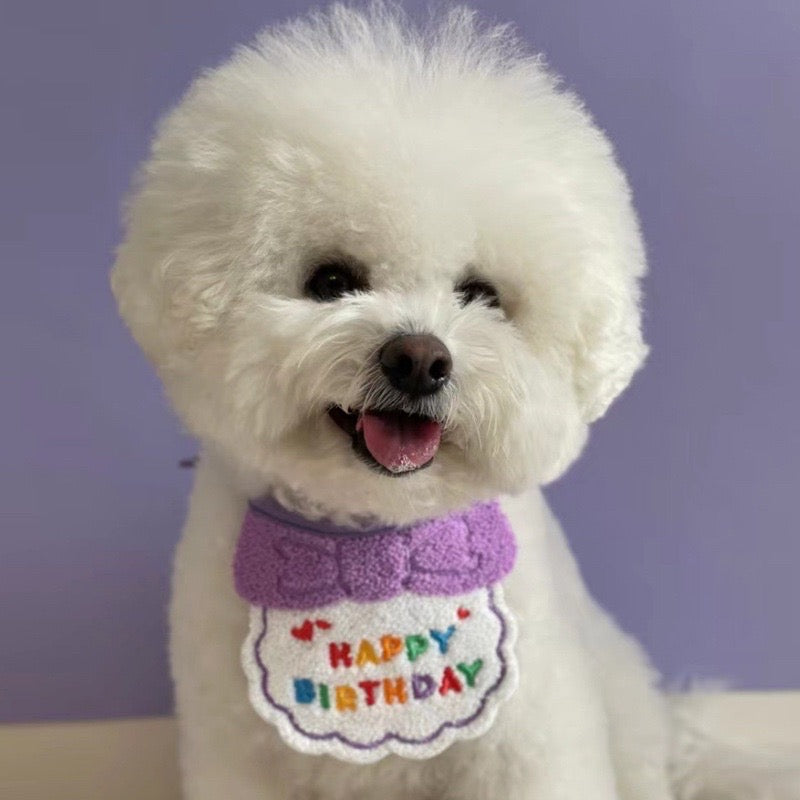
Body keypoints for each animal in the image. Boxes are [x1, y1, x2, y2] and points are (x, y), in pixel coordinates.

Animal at [109, 3, 796, 796]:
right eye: (330, 280)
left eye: (482, 294)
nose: (418, 359)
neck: (379, 550)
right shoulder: (236, 751)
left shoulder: (530, 745)